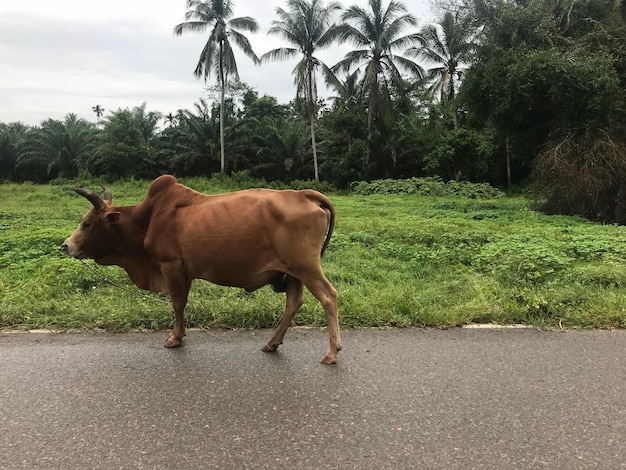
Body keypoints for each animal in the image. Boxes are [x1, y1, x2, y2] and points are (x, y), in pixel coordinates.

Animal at [62, 174, 342, 366]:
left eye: (87, 223)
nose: (66, 245)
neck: (147, 218)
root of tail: (305, 195)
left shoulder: (170, 266)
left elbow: (177, 304)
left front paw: (174, 338)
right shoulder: (184, 271)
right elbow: (181, 304)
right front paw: (179, 334)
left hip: (306, 266)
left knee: (329, 297)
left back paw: (332, 352)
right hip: (294, 272)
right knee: (294, 302)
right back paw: (272, 342)